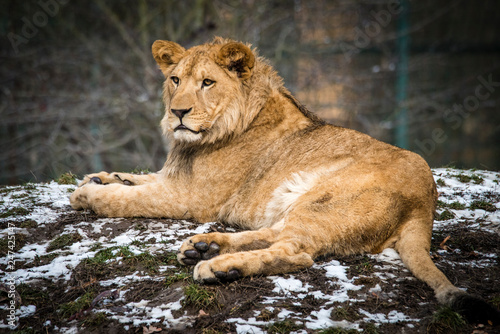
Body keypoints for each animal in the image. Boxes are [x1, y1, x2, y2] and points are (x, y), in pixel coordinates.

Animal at [70, 37, 500, 326]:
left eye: (207, 83)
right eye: (175, 79)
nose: (178, 112)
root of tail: (426, 202)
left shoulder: (189, 197)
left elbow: (128, 198)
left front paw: (89, 193)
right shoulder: (172, 179)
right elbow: (137, 179)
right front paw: (102, 176)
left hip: (326, 197)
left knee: (297, 251)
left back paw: (219, 268)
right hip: (302, 201)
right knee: (277, 234)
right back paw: (206, 247)